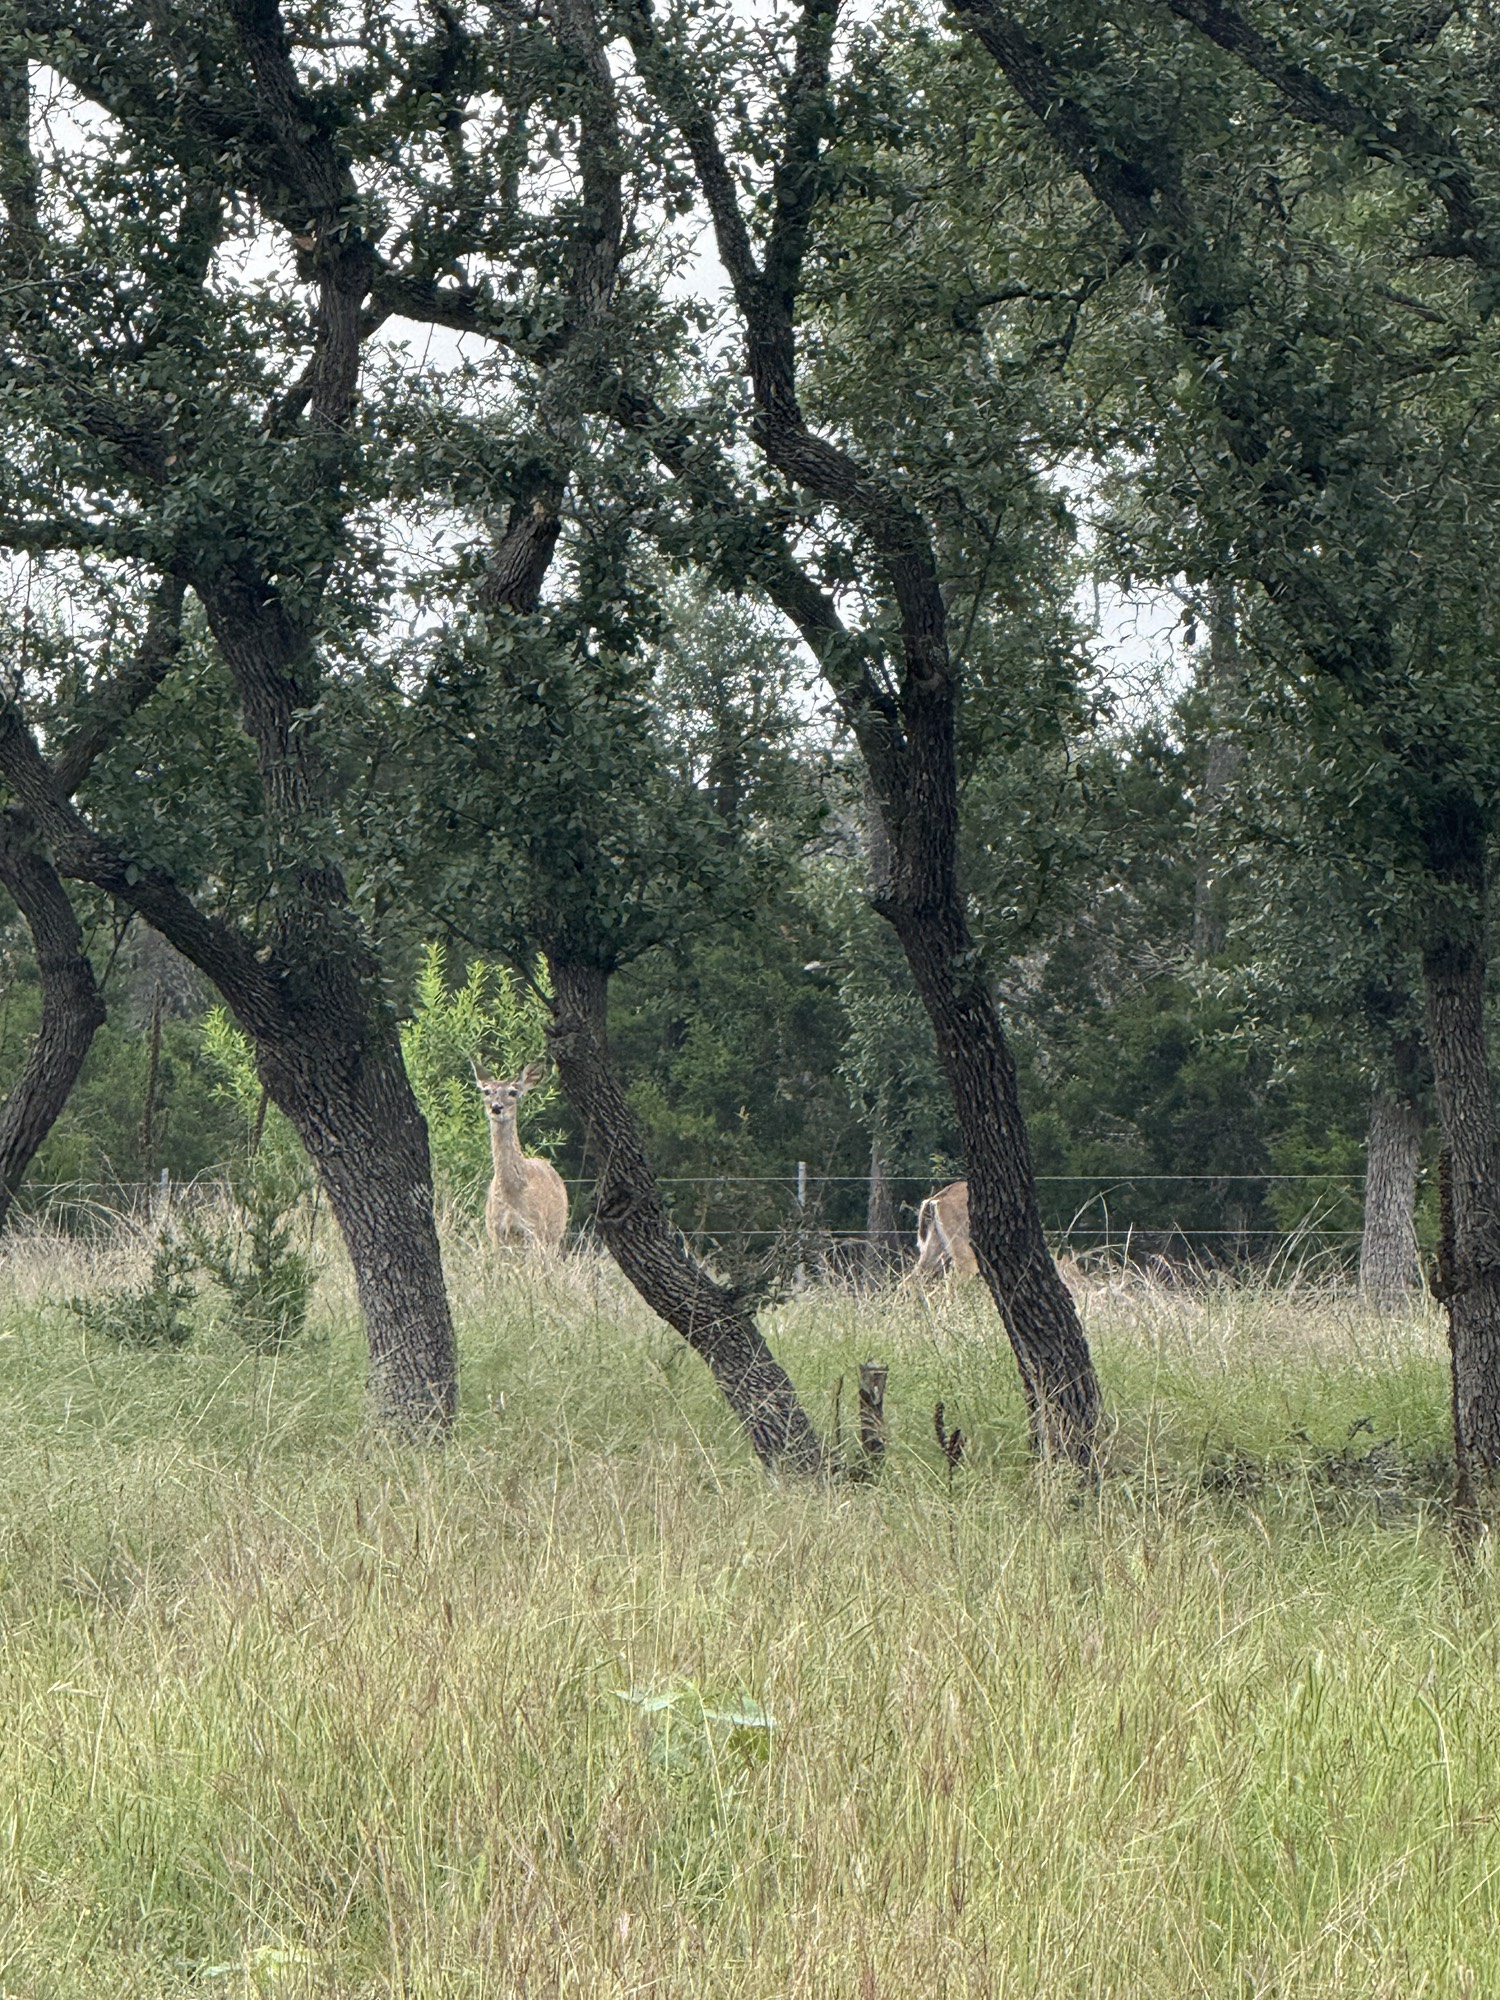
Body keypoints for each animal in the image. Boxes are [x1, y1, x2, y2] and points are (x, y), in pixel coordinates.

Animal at [473, 1060, 569, 1251]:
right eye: (486, 1091)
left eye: (513, 1092)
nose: (496, 1107)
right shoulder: (495, 1231)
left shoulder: (535, 1229)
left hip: (554, 1235)